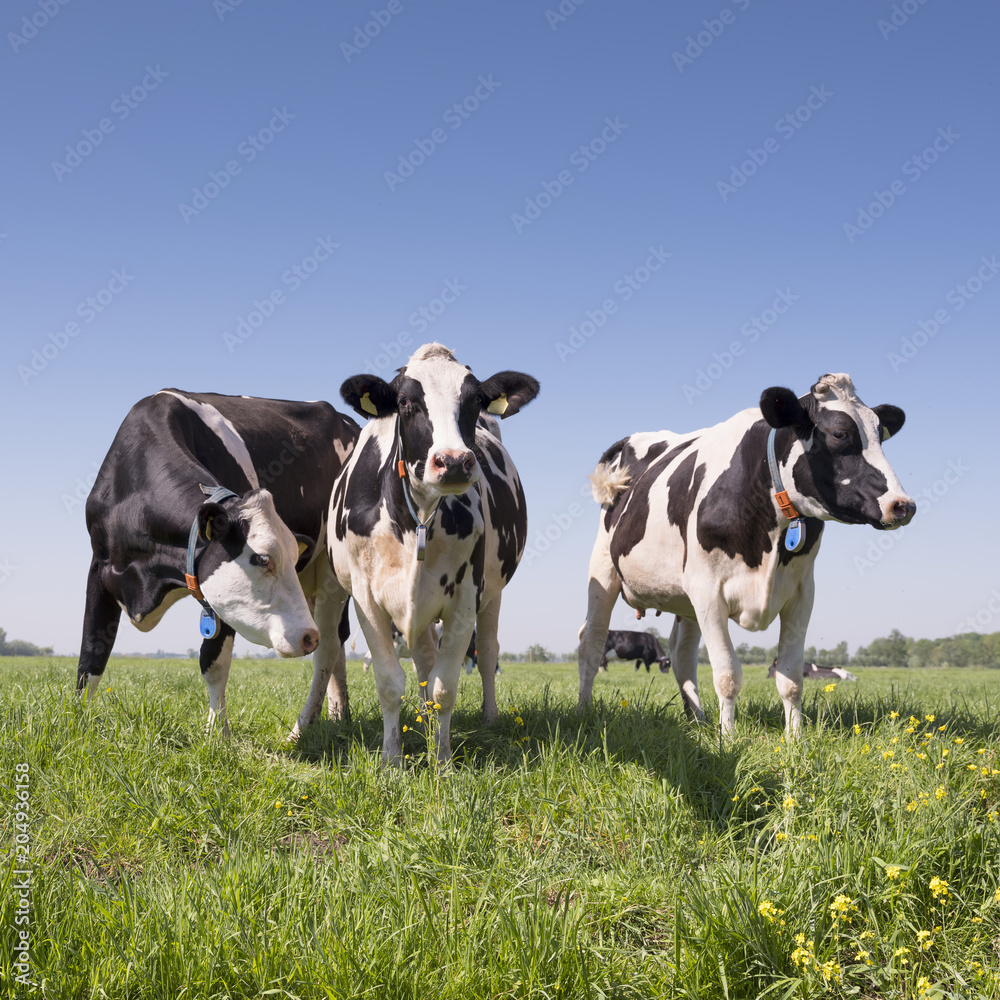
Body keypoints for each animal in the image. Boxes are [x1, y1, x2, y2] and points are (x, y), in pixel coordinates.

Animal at [77, 386, 360, 732]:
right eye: (262, 558)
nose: (307, 637)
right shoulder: (100, 567)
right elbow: (91, 655)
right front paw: (77, 723)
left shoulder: (221, 604)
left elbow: (213, 664)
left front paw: (217, 734)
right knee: (336, 645)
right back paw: (338, 713)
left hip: (332, 572)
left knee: (330, 645)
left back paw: (300, 729)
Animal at [290, 344, 540, 764]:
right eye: (406, 402)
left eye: (475, 400)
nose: (453, 460)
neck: (417, 518)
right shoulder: (366, 599)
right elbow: (390, 683)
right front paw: (392, 760)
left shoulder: (466, 597)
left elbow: (444, 687)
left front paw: (441, 761)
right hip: (333, 585)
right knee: (329, 654)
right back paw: (302, 727)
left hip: (491, 592)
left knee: (485, 652)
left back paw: (482, 718)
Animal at [580, 376, 916, 736]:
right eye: (840, 434)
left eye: (880, 433)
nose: (903, 505)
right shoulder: (708, 590)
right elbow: (728, 675)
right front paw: (728, 738)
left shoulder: (802, 594)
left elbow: (791, 678)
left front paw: (795, 739)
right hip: (603, 570)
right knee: (591, 643)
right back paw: (585, 710)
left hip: (685, 598)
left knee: (682, 654)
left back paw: (697, 719)